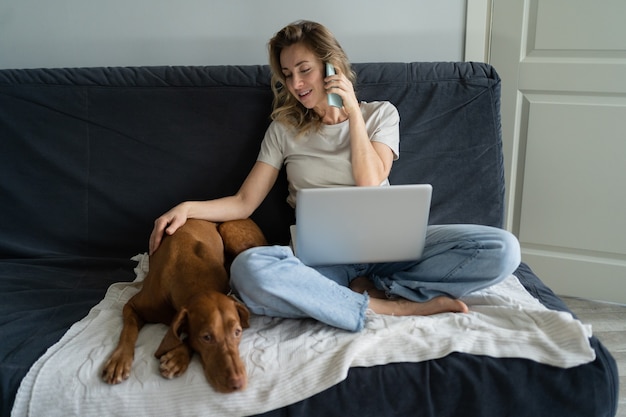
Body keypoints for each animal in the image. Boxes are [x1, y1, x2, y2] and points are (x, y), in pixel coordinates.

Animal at [102, 219, 266, 392]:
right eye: (206, 337)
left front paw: (177, 357)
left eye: (237, 332)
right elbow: (128, 330)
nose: (238, 383)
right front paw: (119, 360)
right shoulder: (132, 306)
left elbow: (185, 336)